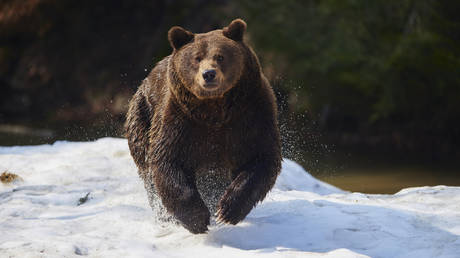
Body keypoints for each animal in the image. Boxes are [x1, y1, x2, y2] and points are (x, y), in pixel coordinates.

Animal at [126, 18, 284, 234]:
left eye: (220, 56)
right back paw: (166, 217)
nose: (209, 74)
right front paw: (198, 219)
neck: (214, 109)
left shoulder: (251, 114)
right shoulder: (180, 120)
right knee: (147, 169)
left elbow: (262, 157)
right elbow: (168, 160)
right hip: (142, 115)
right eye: (197, 58)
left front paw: (226, 210)